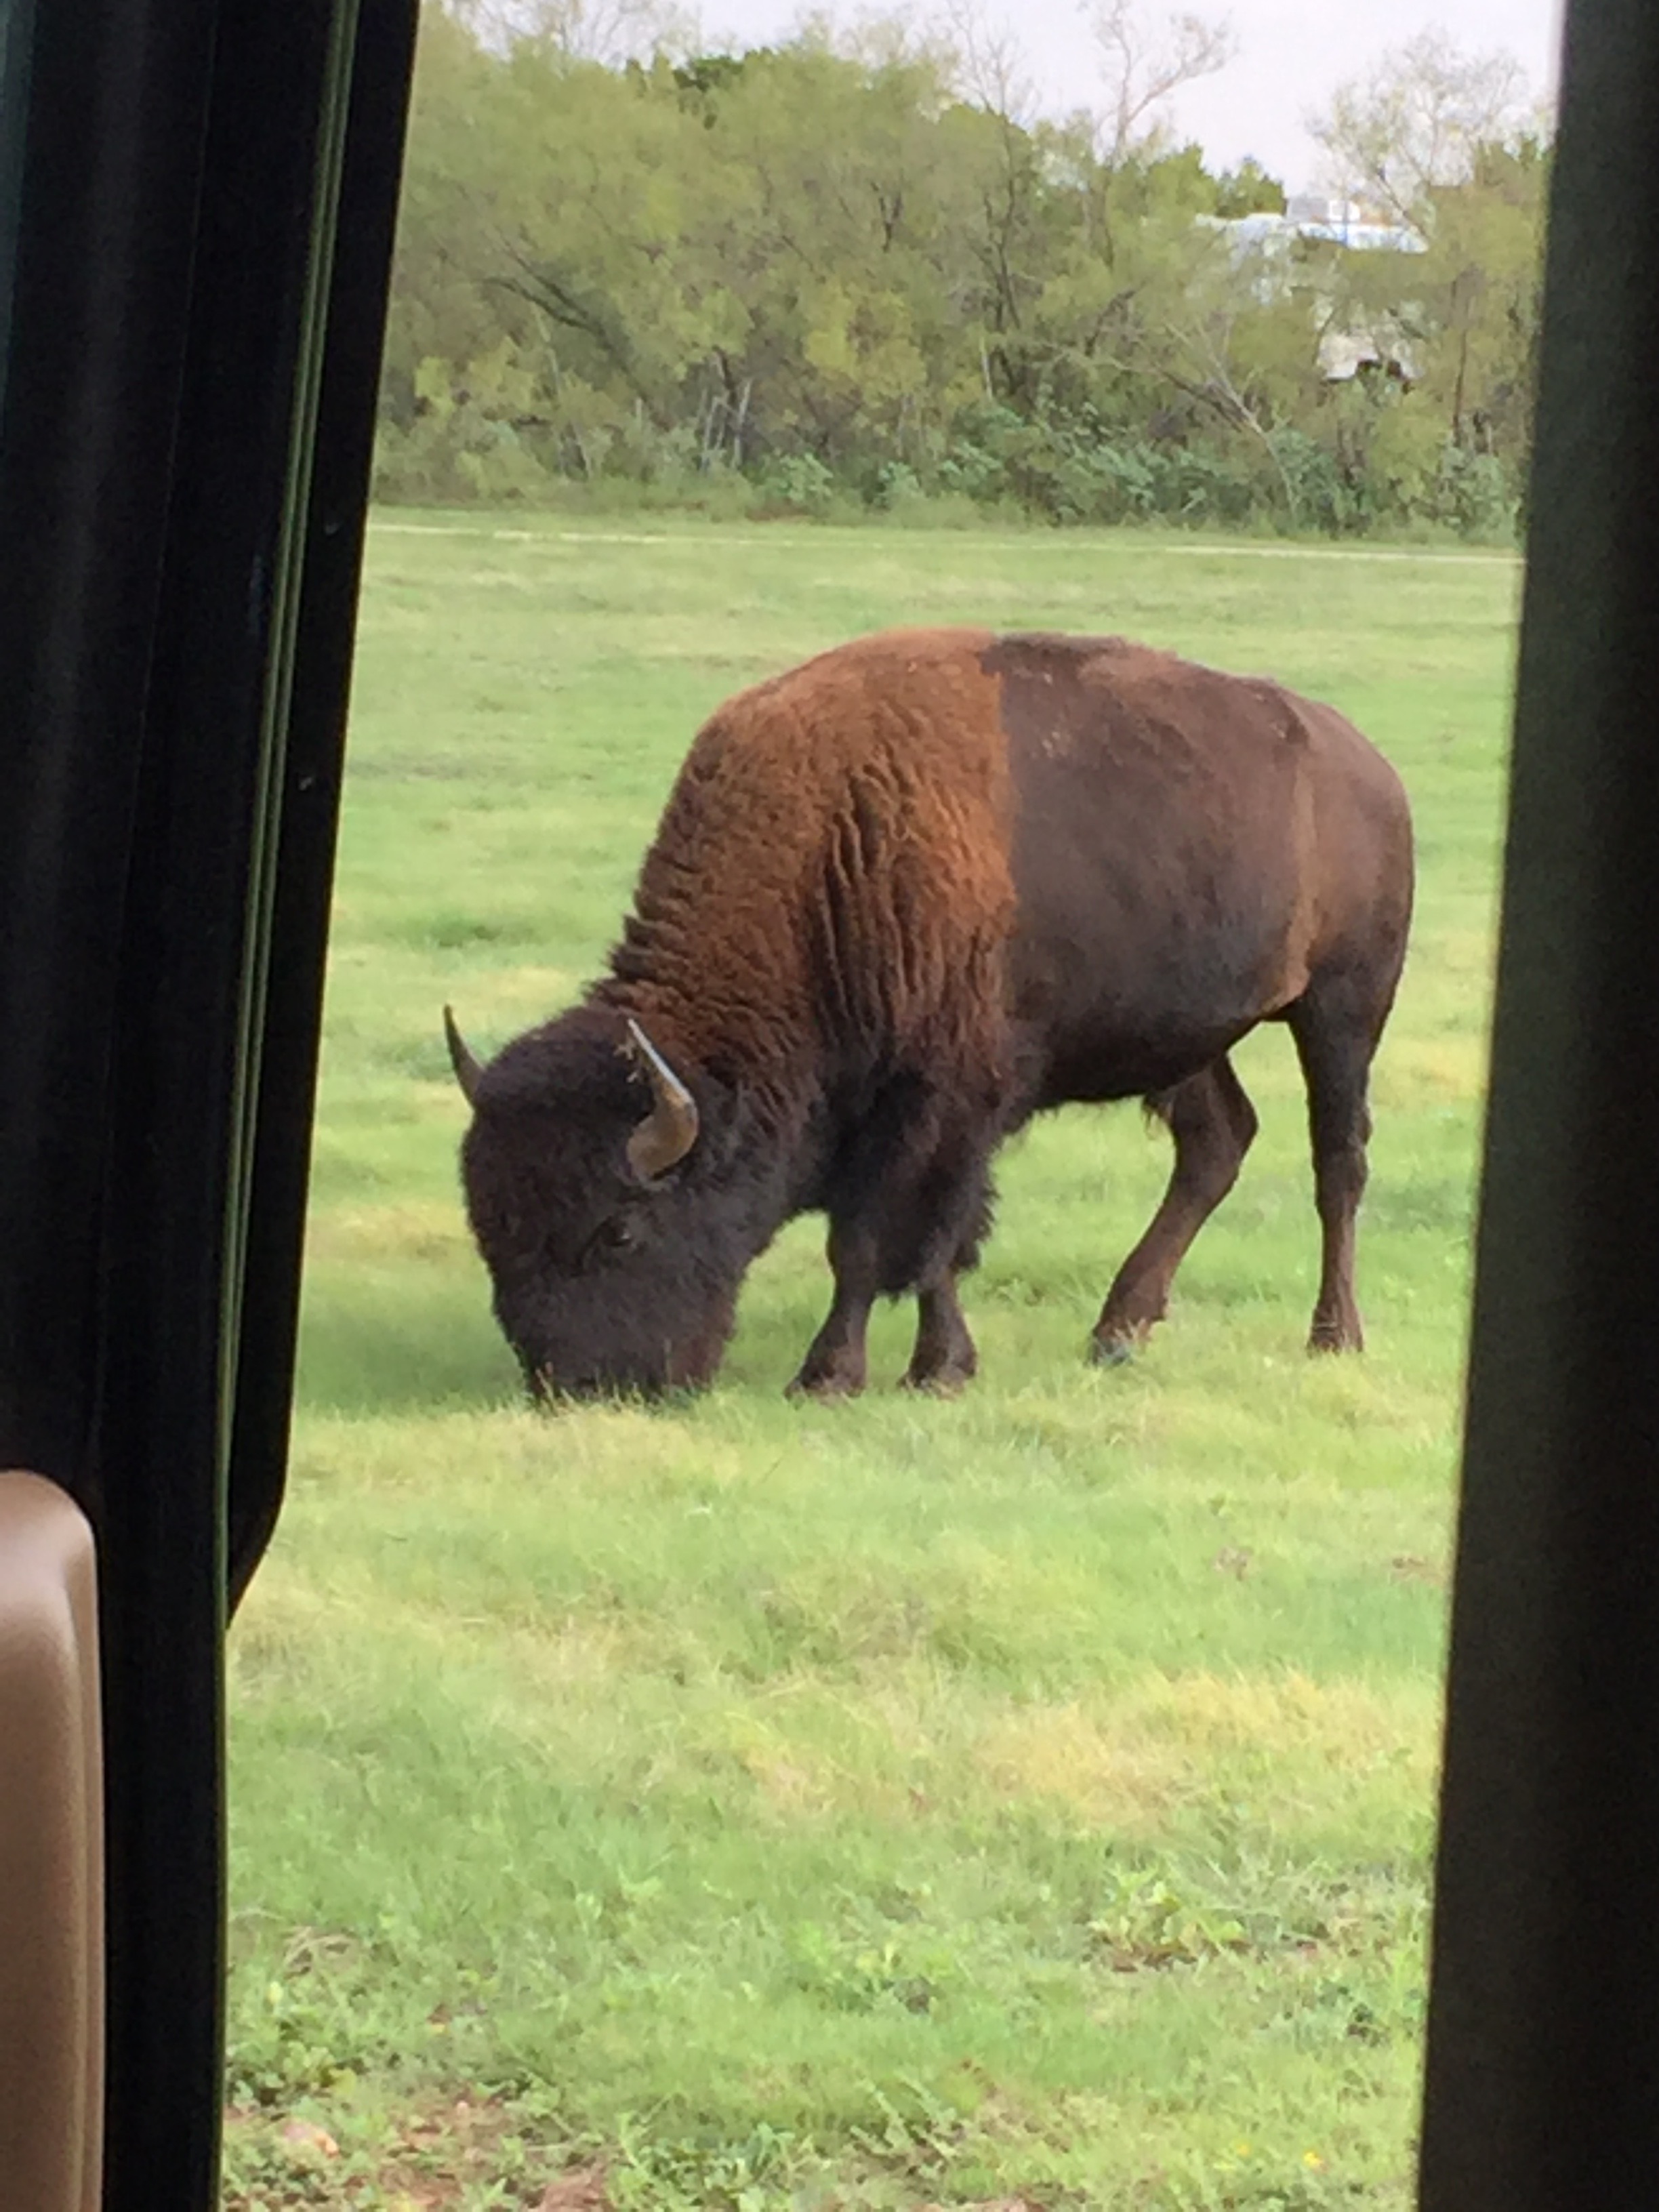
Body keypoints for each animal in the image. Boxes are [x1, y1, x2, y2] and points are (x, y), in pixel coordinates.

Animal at [442, 623, 1415, 1397]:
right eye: (489, 1226)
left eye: (618, 1230)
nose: (573, 1386)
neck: (832, 857)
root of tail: (1366, 765)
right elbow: (922, 1246)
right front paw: (930, 1366)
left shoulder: (944, 1106)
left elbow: (891, 1241)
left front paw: (848, 1375)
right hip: (1187, 1038)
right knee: (1217, 1142)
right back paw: (1116, 1331)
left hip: (1342, 1008)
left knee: (1339, 1163)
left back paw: (1333, 1337)